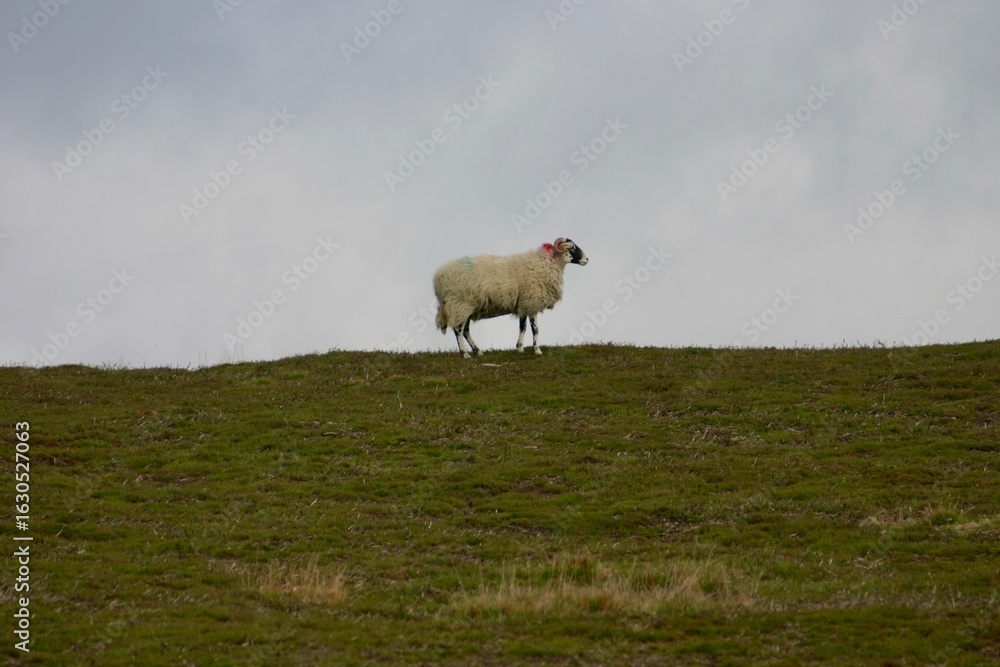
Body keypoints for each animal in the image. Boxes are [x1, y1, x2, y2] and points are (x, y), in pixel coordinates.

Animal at [433, 237, 588, 358]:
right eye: (572, 248)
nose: (587, 259)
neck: (549, 262)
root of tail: (438, 279)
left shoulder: (524, 304)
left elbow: (522, 327)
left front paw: (519, 348)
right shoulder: (532, 303)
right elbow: (535, 329)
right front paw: (537, 350)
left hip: (467, 308)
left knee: (465, 331)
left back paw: (478, 351)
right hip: (460, 305)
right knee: (458, 330)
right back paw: (465, 354)